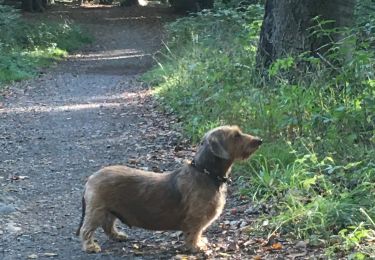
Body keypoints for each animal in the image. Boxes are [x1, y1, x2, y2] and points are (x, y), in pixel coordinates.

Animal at [76, 125, 262, 253]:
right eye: (236, 135)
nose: (260, 140)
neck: (206, 172)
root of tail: (91, 178)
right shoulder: (196, 218)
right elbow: (194, 232)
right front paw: (196, 246)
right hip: (96, 211)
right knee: (87, 229)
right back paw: (90, 246)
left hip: (109, 210)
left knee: (108, 225)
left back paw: (118, 235)